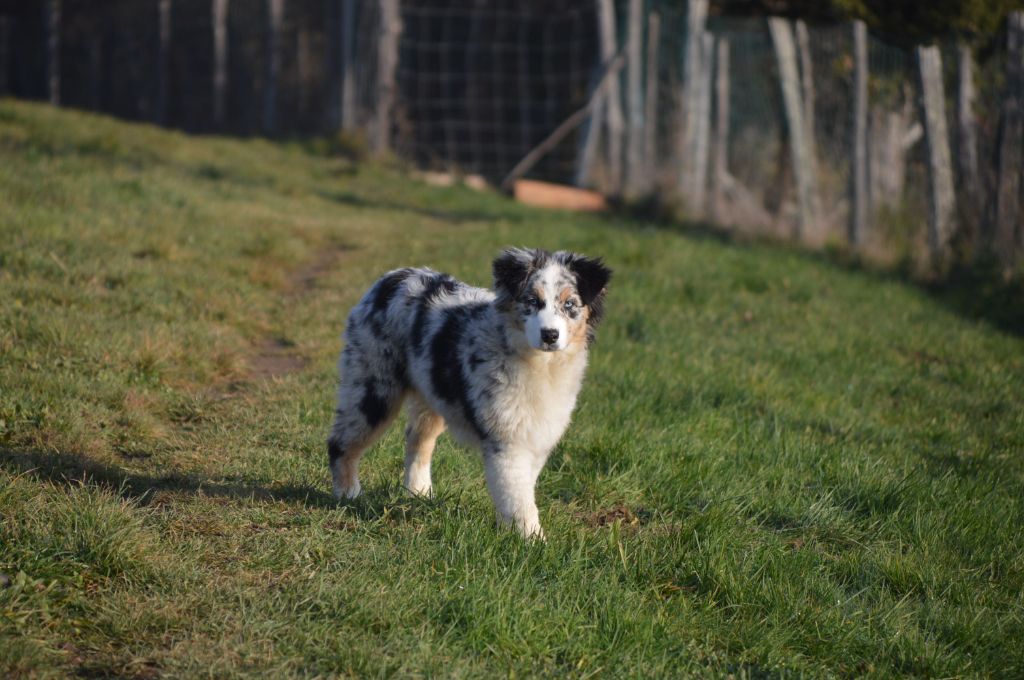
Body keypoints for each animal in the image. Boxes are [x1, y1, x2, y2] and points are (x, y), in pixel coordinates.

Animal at [327, 246, 610, 540]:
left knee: (417, 439)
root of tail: (389, 279)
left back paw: (419, 493)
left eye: (570, 305)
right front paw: (533, 541)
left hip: (431, 392)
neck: (541, 364)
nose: (550, 335)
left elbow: (521, 490)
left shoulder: (536, 433)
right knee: (340, 441)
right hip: (373, 386)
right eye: (532, 300)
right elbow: (517, 495)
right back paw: (348, 494)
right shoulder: (506, 439)